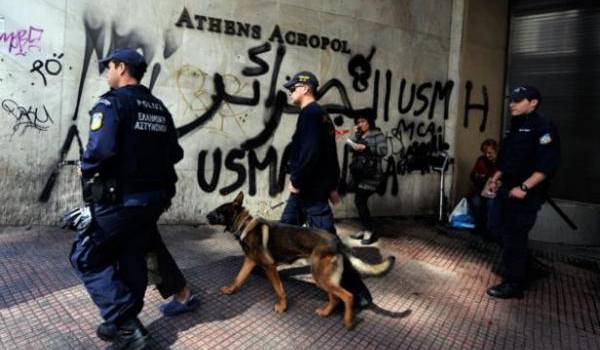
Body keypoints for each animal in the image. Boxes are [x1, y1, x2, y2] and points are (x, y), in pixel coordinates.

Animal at [204, 191, 396, 328]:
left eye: (219, 211)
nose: (206, 215)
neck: (245, 225)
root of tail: (336, 241)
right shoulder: (250, 261)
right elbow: (239, 278)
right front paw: (230, 289)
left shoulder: (270, 267)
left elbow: (279, 290)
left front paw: (282, 307)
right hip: (322, 277)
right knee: (335, 298)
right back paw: (326, 312)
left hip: (320, 277)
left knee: (347, 296)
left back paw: (348, 321)